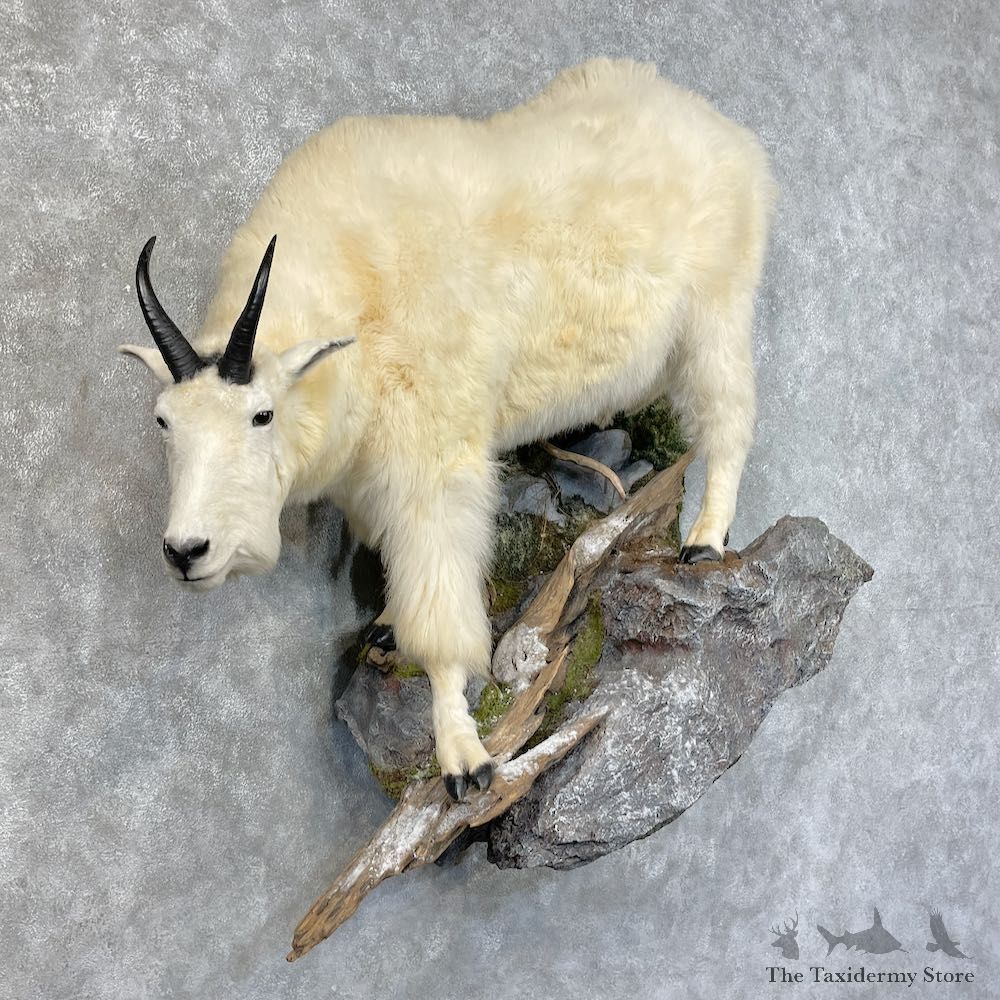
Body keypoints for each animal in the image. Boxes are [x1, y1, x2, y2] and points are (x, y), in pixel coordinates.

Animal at [120, 58, 777, 800]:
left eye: (261, 414)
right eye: (164, 419)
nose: (186, 551)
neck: (356, 309)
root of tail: (729, 134)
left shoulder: (435, 462)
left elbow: (439, 607)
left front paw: (464, 757)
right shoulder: (367, 473)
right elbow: (387, 550)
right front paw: (384, 627)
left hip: (718, 311)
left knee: (729, 421)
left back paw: (705, 540)